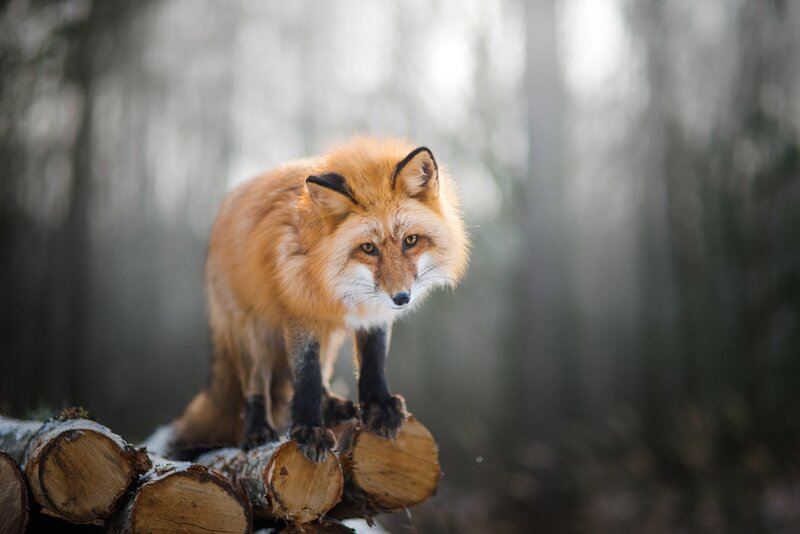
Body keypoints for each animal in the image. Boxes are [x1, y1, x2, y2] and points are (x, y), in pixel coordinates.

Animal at [168, 136, 469, 462]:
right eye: (368, 248)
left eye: (410, 241)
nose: (401, 298)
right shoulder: (300, 311)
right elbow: (305, 375)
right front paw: (309, 429)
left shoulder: (371, 312)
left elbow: (372, 360)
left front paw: (379, 406)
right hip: (254, 332)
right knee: (257, 388)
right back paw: (258, 430)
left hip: (329, 333)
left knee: (322, 373)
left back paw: (333, 407)